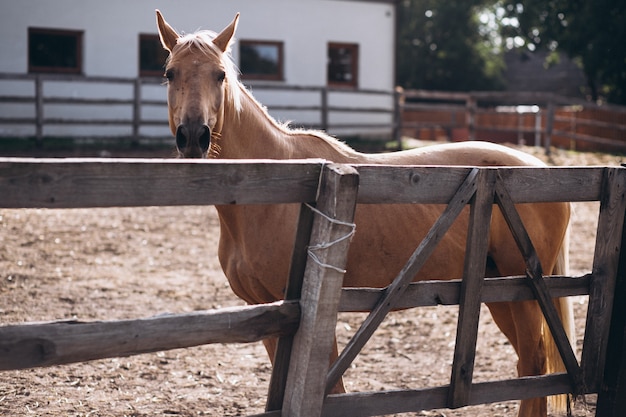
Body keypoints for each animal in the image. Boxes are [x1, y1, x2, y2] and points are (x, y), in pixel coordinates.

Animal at [155, 10, 572, 416]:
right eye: (170, 73)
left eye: (220, 74)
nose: (193, 136)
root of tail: (542, 169)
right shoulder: (266, 311)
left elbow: (333, 390)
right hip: (499, 291)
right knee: (528, 367)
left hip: (523, 294)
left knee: (534, 364)